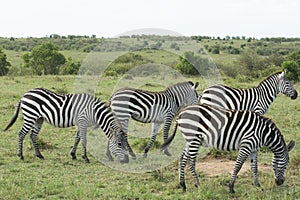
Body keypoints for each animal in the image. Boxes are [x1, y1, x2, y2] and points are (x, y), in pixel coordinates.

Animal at [162, 104, 296, 193]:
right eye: (285, 165)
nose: (280, 182)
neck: (263, 133)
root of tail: (181, 113)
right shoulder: (246, 145)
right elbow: (238, 166)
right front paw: (231, 187)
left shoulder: (254, 149)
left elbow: (254, 167)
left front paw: (258, 185)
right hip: (194, 138)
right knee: (191, 161)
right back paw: (197, 184)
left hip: (189, 139)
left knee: (183, 159)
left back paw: (183, 185)